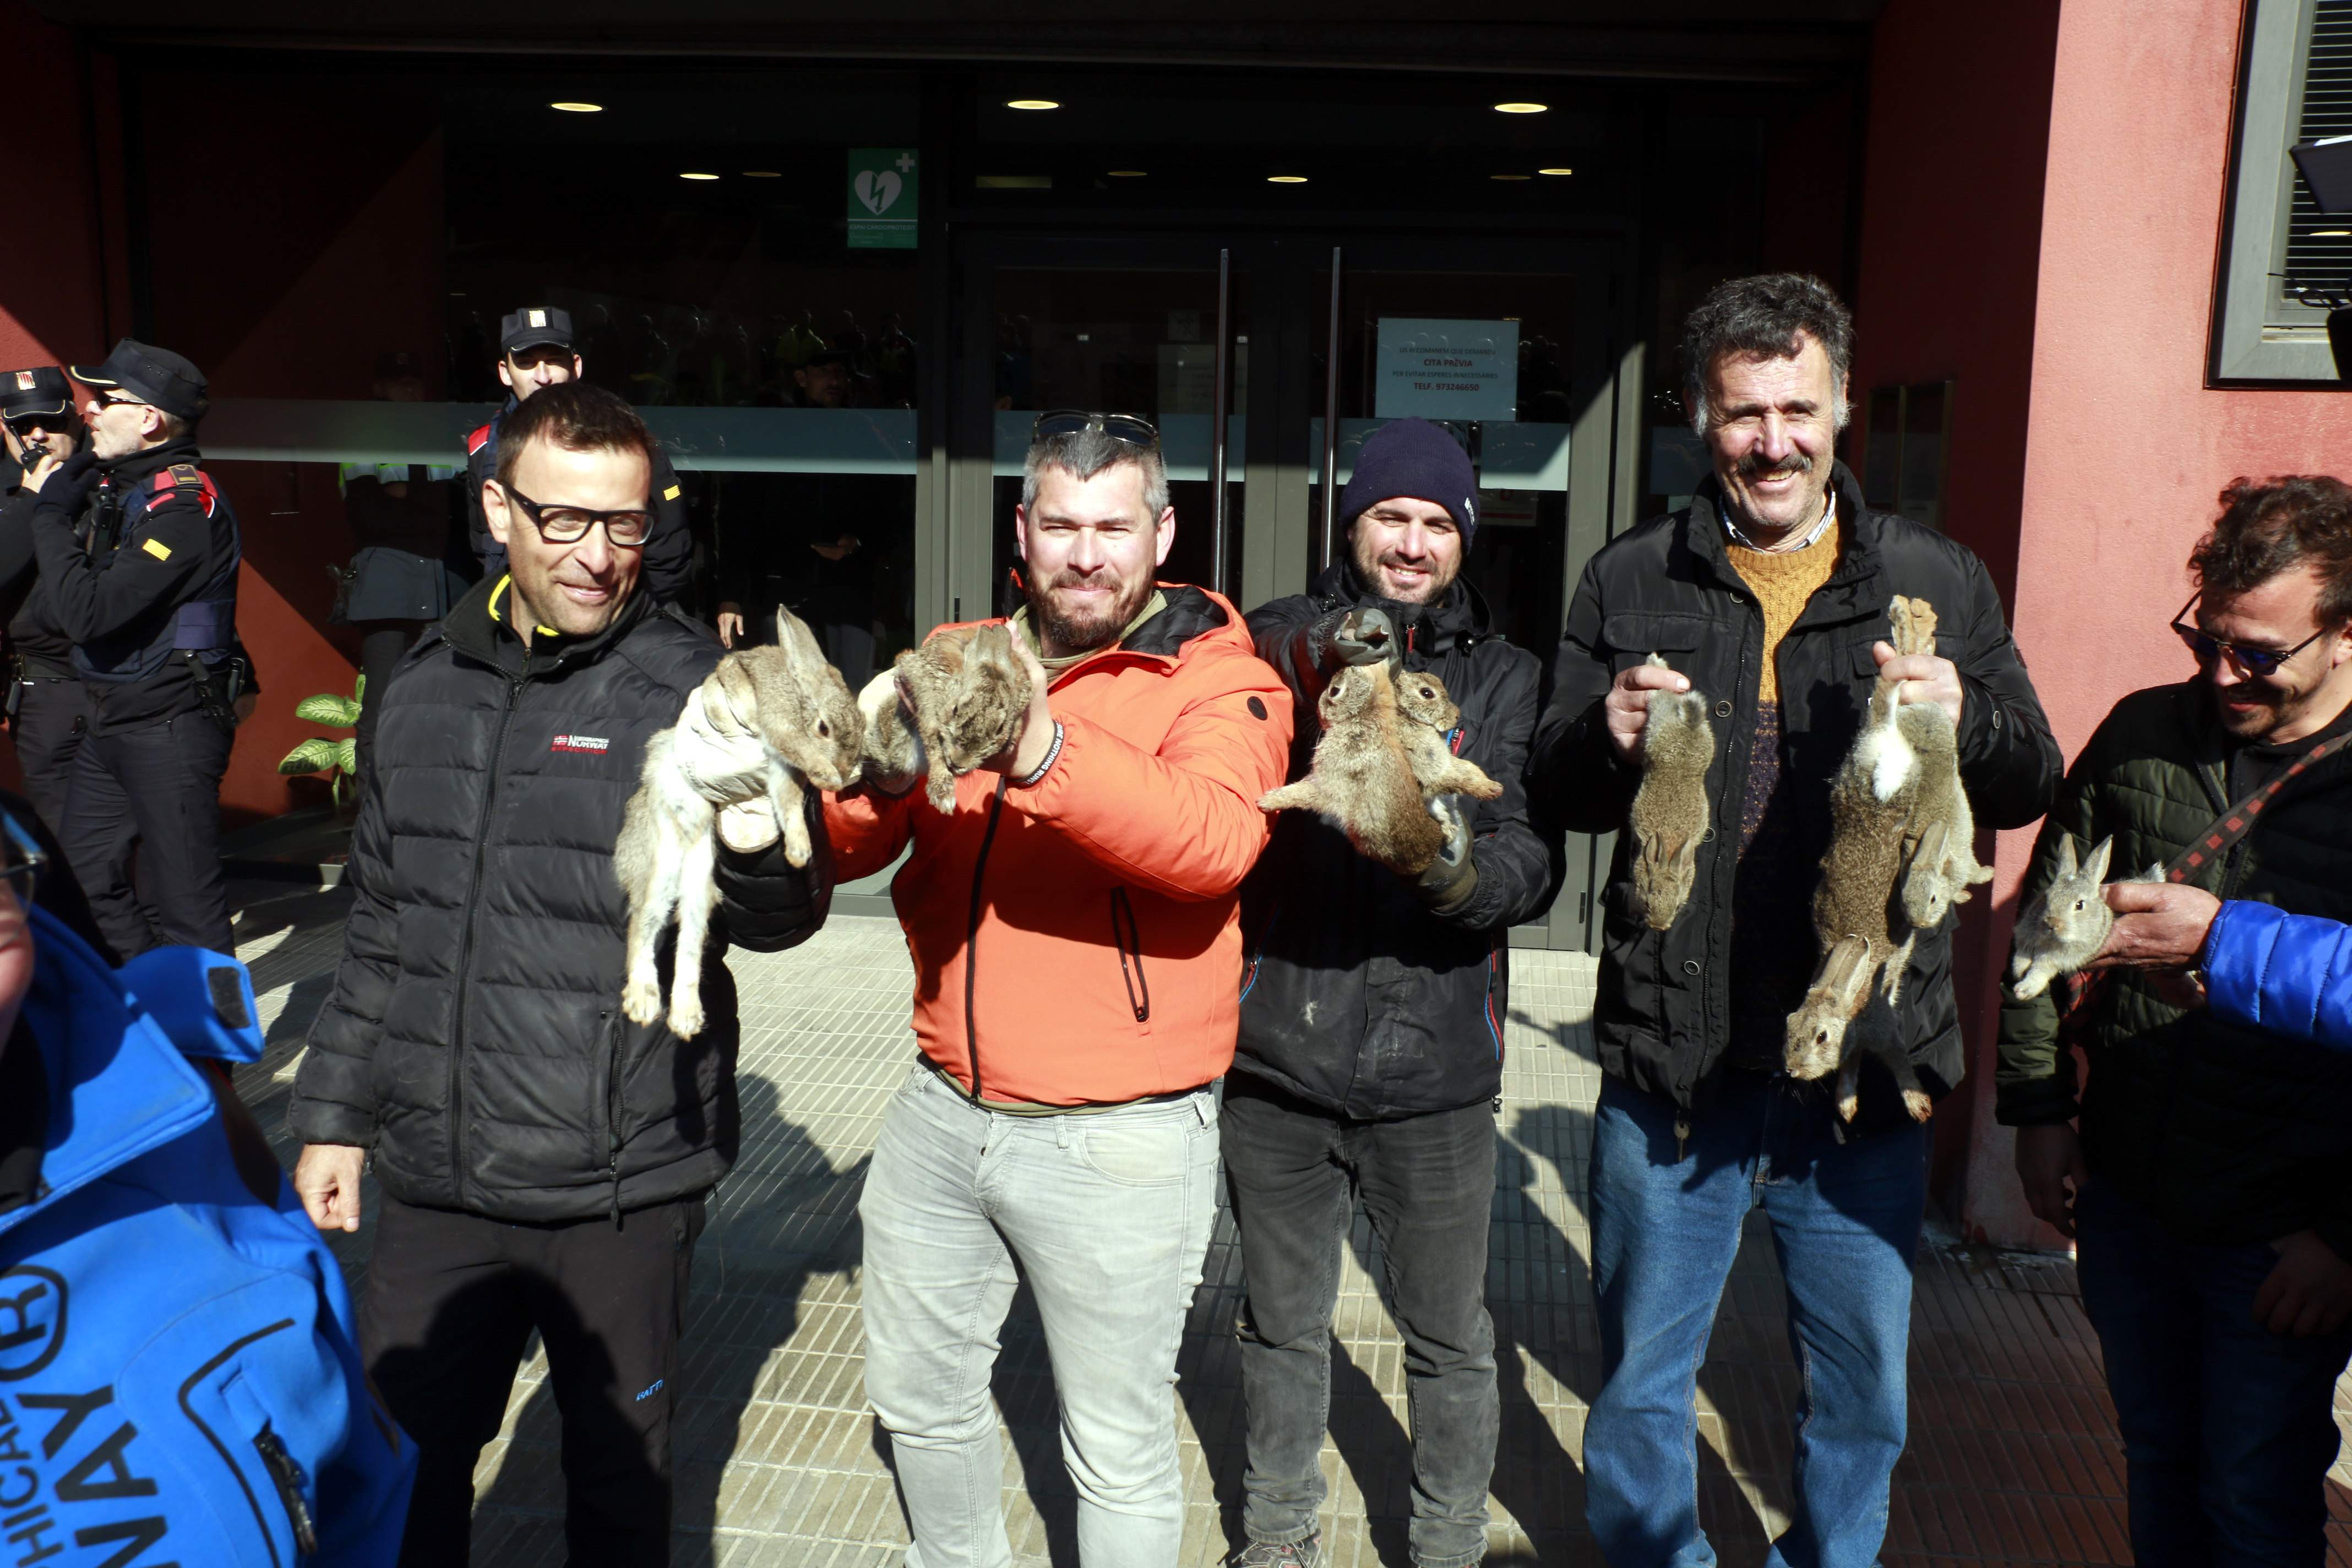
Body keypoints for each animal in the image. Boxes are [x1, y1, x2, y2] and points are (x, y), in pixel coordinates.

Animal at [616, 611, 865, 1043]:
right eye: (824, 728)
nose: (844, 771)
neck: (800, 691)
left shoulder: (778, 772)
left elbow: (787, 804)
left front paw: (798, 852)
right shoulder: (779, 728)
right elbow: (796, 751)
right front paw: (825, 777)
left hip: (700, 884)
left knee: (689, 941)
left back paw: (685, 1017)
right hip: (655, 866)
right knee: (640, 928)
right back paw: (642, 1002)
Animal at [1260, 663, 1439, 879]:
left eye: (1335, 691)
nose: (1319, 711)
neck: (1362, 717)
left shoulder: (1330, 779)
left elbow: (1301, 793)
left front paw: (1267, 801)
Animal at [1637, 654, 1712, 930]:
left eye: (1679, 908)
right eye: (1647, 904)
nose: (1658, 928)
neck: (1668, 849)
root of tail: (1689, 726)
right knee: (1661, 695)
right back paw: (1655, 663)